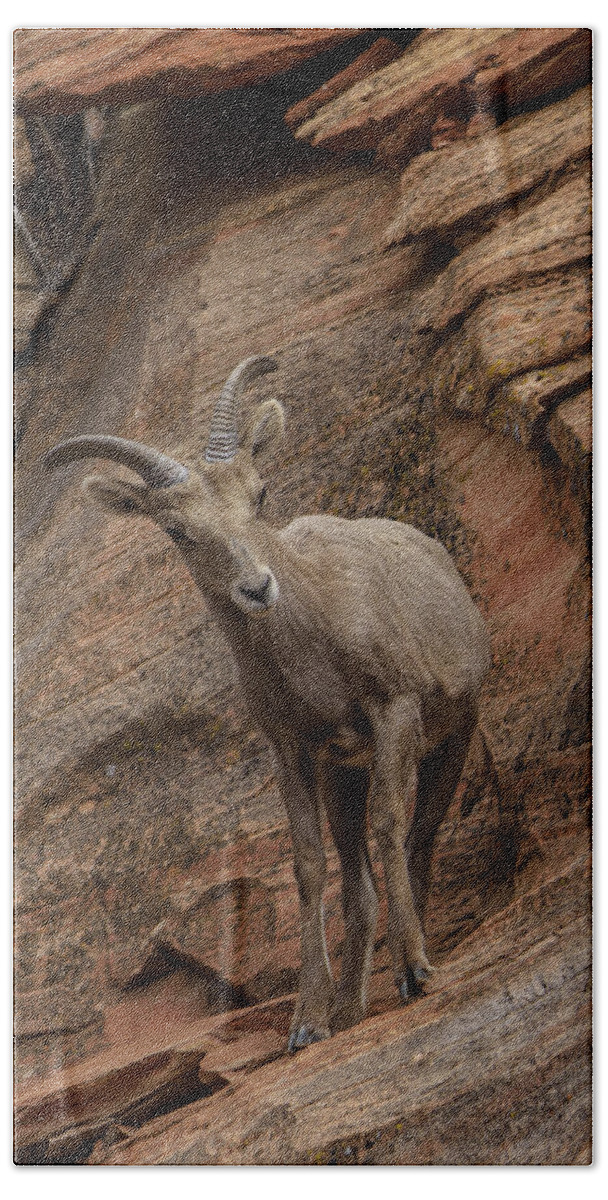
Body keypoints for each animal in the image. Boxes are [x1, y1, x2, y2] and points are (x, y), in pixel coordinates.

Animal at [44, 355, 491, 1052]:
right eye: (177, 529)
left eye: (259, 493)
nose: (257, 587)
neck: (313, 656)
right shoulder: (296, 750)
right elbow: (309, 865)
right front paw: (307, 1022)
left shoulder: (395, 710)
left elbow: (392, 826)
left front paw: (416, 970)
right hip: (344, 774)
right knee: (358, 874)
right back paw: (351, 1008)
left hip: (455, 732)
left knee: (420, 837)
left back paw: (406, 970)